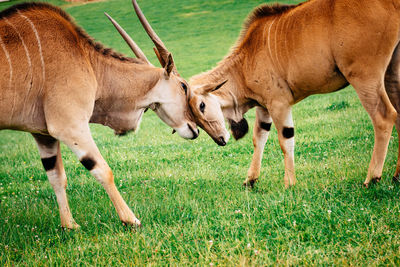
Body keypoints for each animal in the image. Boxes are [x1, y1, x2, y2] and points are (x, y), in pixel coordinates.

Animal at [0, 1, 200, 229]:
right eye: (183, 86)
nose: (195, 129)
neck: (88, 61)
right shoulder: (70, 126)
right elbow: (103, 170)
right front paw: (130, 219)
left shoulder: (43, 135)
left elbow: (57, 176)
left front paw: (69, 225)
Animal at [189, 0, 400, 188]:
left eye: (202, 105)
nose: (221, 140)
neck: (244, 64)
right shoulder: (264, 107)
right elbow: (259, 139)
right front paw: (250, 180)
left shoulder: (279, 103)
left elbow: (285, 139)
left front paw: (289, 183)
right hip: (390, 75)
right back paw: (396, 176)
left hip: (364, 76)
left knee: (385, 117)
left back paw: (372, 178)